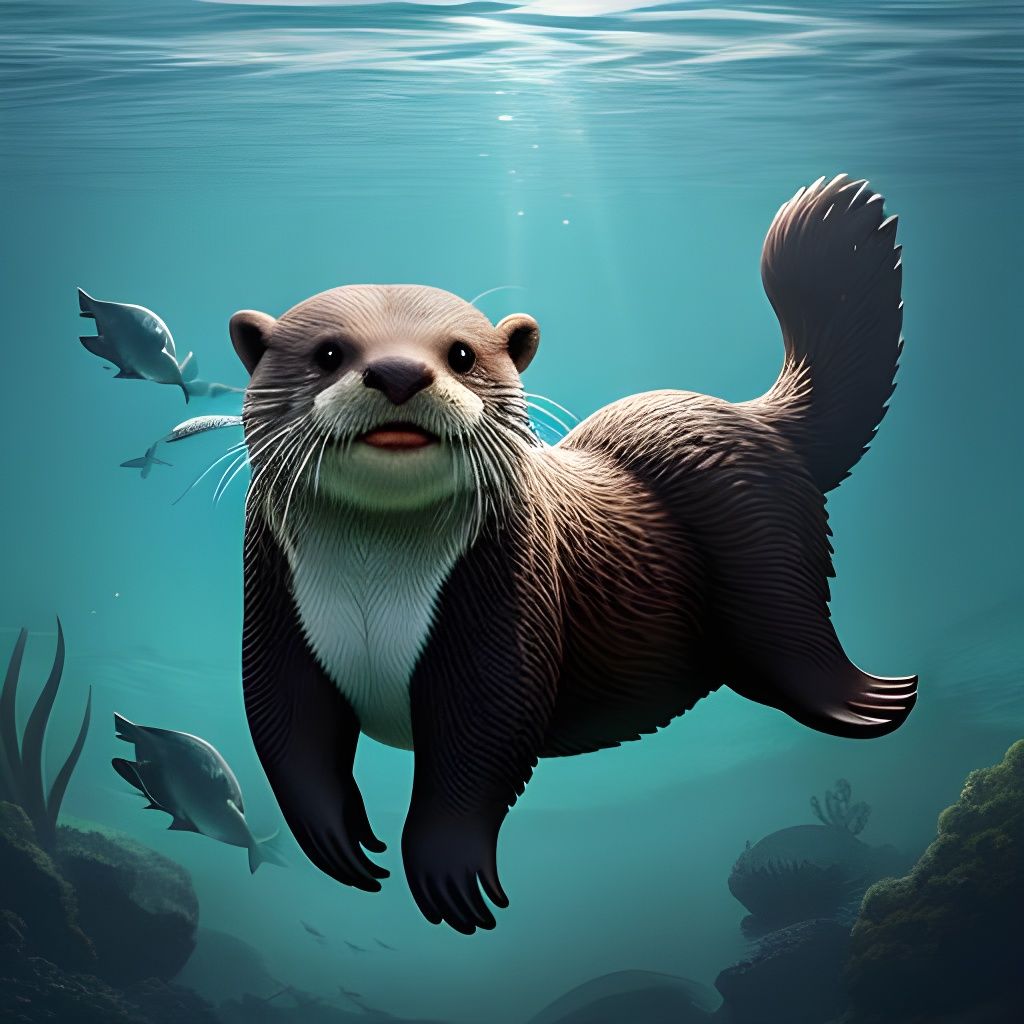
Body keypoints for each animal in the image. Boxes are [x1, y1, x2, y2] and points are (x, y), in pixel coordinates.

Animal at [230, 174, 916, 935]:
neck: (371, 588)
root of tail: (755, 418)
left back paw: (872, 705)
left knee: (797, 644)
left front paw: (449, 875)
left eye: (461, 354)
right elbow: (287, 728)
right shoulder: (273, 609)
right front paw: (340, 845)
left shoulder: (507, 600)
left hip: (766, 547)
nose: (399, 372)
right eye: (327, 353)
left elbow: (480, 740)